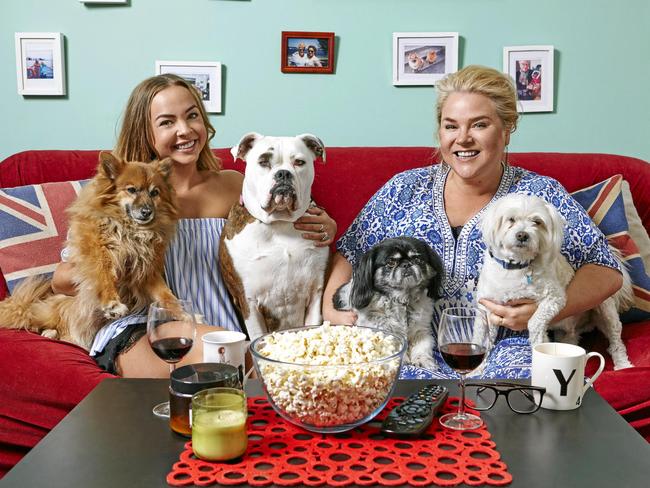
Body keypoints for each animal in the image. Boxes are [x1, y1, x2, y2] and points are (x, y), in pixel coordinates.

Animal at [0, 152, 177, 346]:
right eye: (131, 190)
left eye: (155, 193)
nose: (147, 211)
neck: (130, 229)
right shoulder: (98, 254)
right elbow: (104, 278)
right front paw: (112, 303)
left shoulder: (145, 271)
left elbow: (165, 294)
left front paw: (182, 313)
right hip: (57, 306)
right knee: (33, 320)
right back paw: (48, 332)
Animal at [334, 236, 440, 370]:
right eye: (391, 263)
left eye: (417, 259)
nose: (406, 264)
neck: (403, 300)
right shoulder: (381, 329)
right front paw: (403, 360)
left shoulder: (421, 331)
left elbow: (422, 347)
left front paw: (423, 360)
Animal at [474, 194, 632, 370]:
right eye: (511, 219)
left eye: (537, 222)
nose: (522, 235)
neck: (514, 268)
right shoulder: (485, 308)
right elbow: (481, 337)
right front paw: (477, 368)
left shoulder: (554, 298)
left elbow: (534, 323)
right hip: (567, 334)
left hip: (605, 309)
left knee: (616, 339)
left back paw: (623, 365)